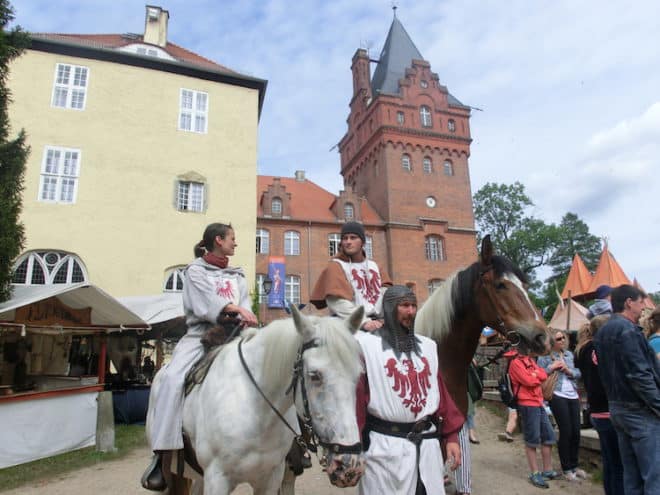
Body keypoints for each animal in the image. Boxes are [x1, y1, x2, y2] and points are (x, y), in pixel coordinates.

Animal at [146, 308, 366, 494]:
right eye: (314, 375)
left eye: (358, 376)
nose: (349, 465)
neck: (257, 413)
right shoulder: (217, 480)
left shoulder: (272, 478)